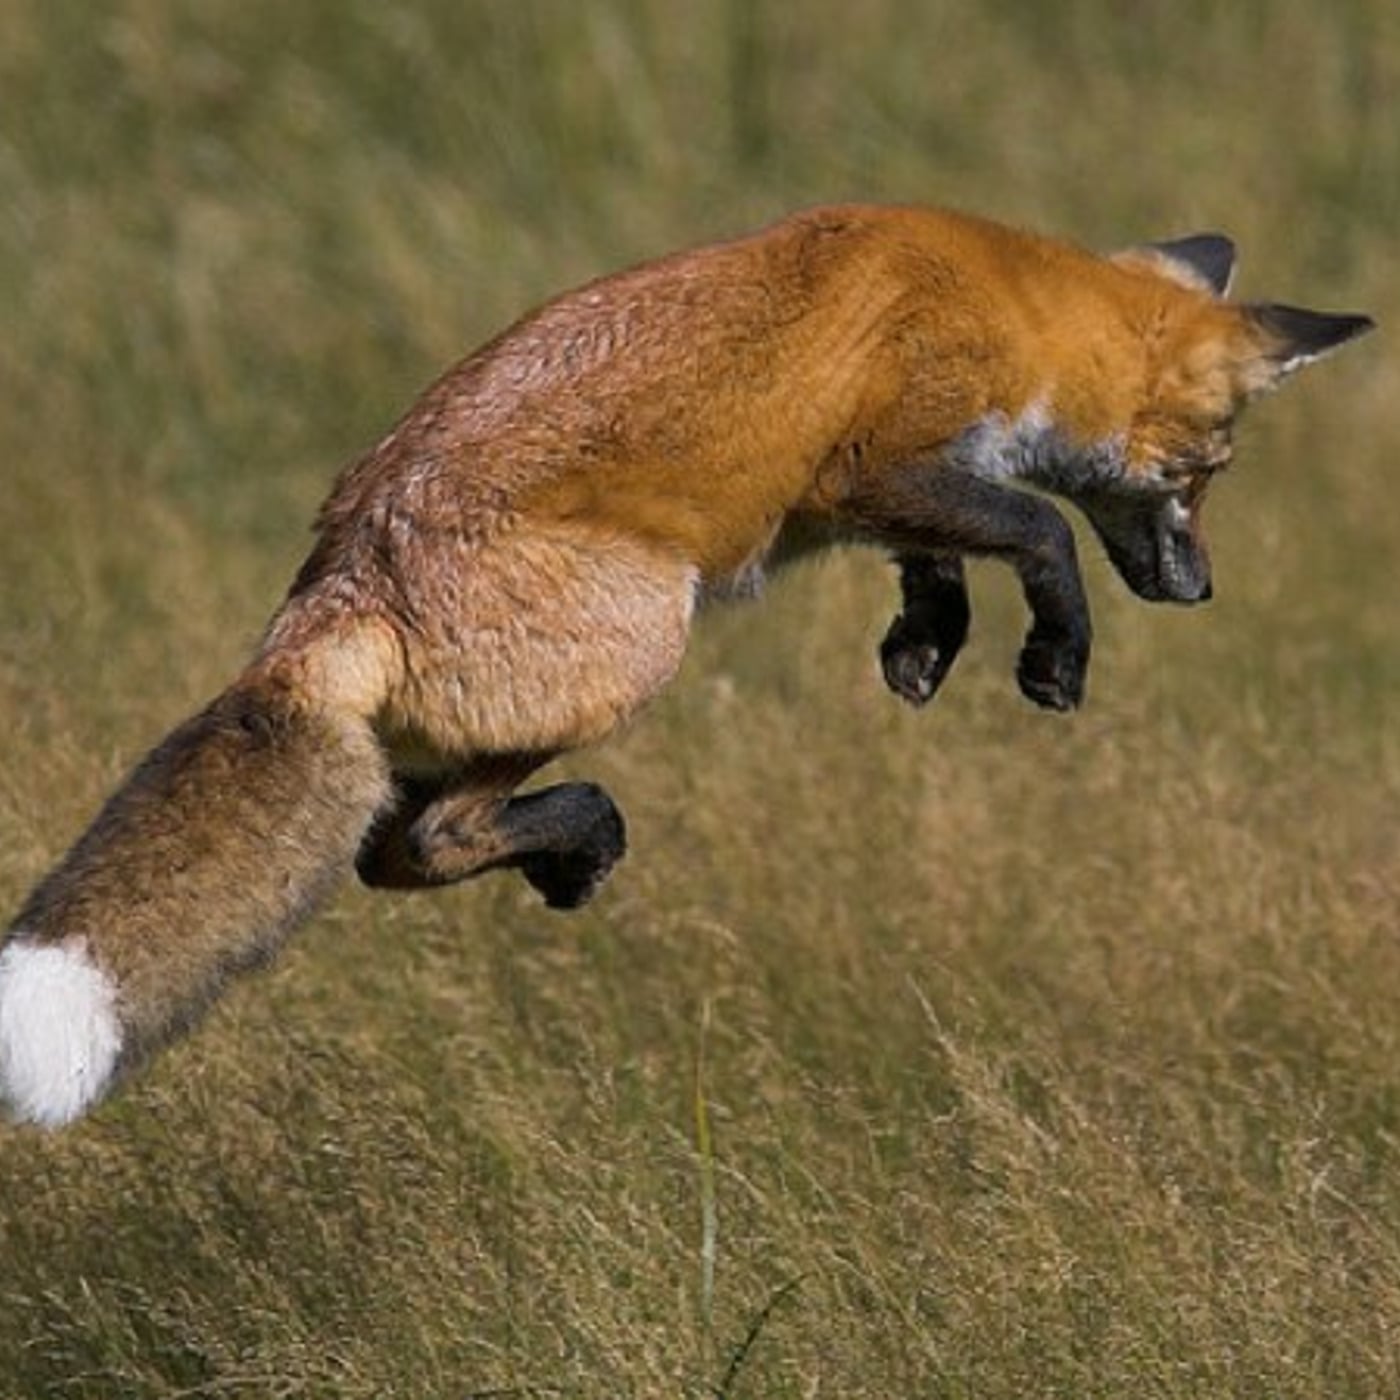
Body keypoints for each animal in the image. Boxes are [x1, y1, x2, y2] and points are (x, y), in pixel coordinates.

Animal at [0, 204, 1373, 1127]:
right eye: (1206, 473)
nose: (1198, 590)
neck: (1009, 305)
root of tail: (339, 580)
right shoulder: (873, 461)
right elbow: (1036, 530)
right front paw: (1053, 652)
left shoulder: (880, 497)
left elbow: (940, 560)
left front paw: (925, 646)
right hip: (644, 638)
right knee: (419, 842)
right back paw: (581, 835)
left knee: (389, 852)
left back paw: (565, 848)